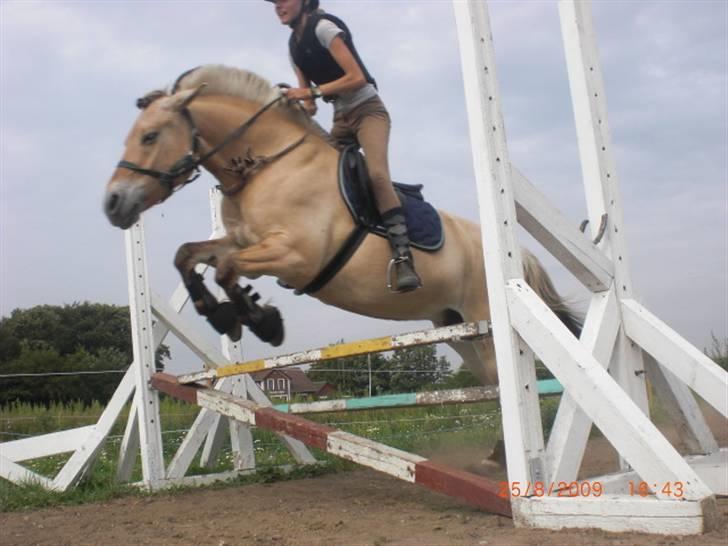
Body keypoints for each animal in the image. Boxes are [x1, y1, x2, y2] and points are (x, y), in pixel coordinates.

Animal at [102, 66, 580, 384]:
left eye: (149, 136)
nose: (112, 204)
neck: (268, 165)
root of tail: (514, 253)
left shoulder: (294, 256)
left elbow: (225, 270)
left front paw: (260, 319)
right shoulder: (242, 241)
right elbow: (189, 255)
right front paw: (224, 314)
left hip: (484, 321)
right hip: (455, 326)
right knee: (492, 379)